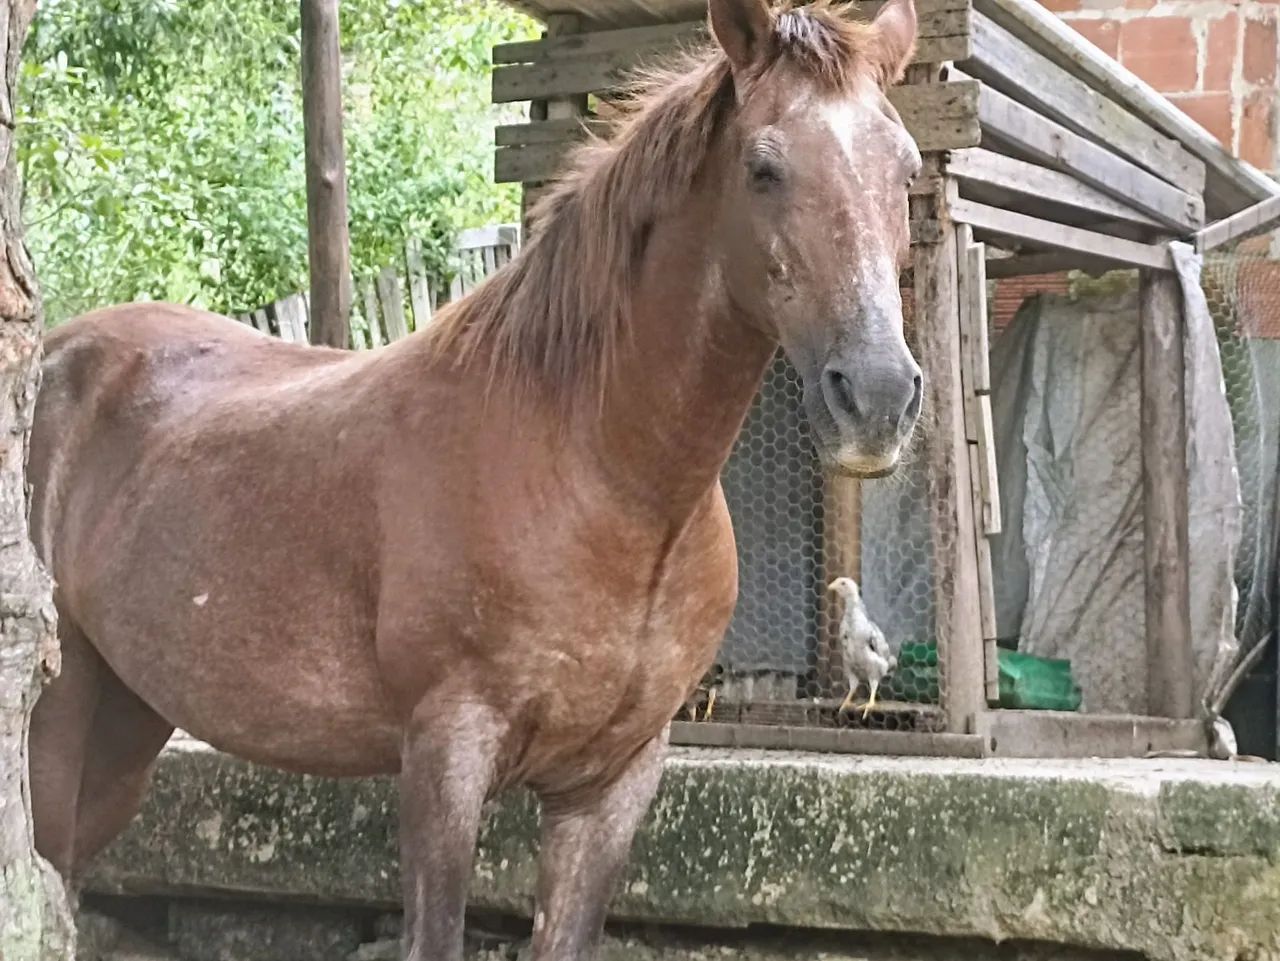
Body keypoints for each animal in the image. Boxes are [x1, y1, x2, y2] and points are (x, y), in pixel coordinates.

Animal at [27, 0, 922, 957]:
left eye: (904, 167)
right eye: (763, 166)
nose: (877, 394)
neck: (596, 474)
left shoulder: (612, 783)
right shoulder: (447, 756)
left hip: (125, 722)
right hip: (59, 723)